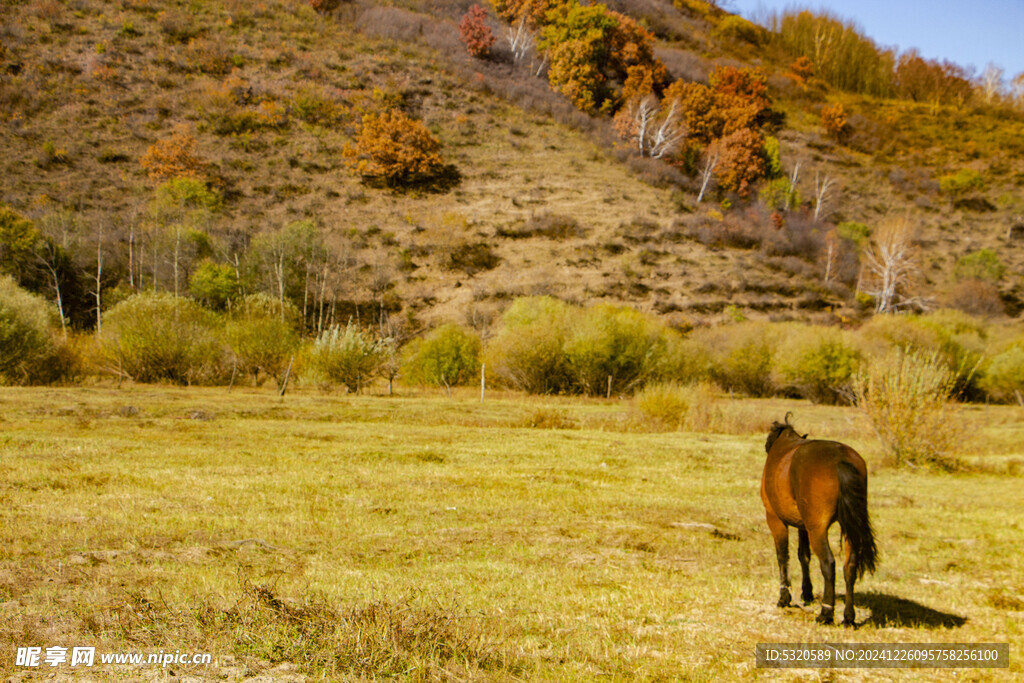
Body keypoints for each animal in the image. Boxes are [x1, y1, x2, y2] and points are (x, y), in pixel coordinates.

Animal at [765, 411, 876, 626]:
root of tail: (840, 459)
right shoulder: (803, 526)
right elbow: (803, 555)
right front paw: (806, 593)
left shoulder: (775, 519)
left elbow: (783, 556)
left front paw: (784, 597)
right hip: (848, 530)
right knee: (849, 566)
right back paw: (848, 617)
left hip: (817, 529)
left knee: (828, 563)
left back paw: (826, 613)